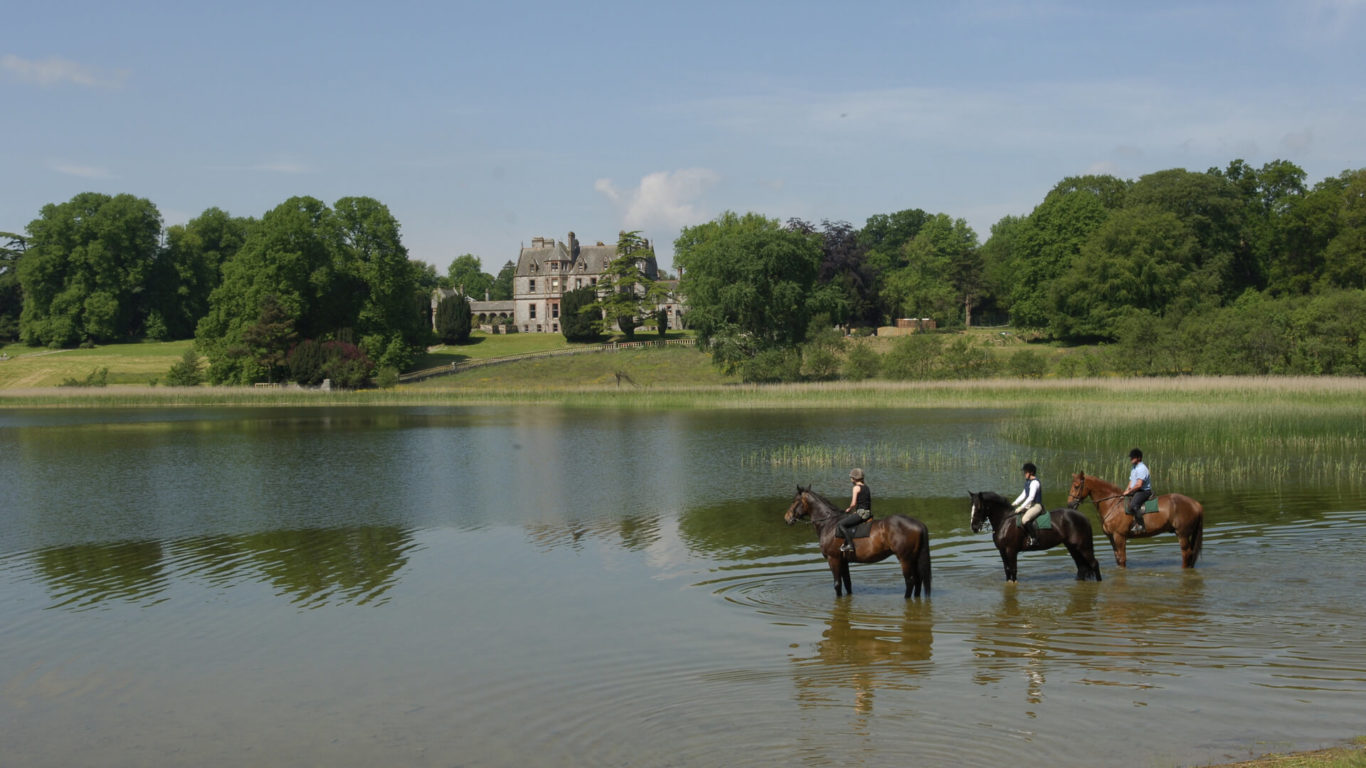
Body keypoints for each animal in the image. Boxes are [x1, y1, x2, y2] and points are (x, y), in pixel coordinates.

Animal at [786, 483, 934, 598]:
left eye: (794, 501)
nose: (786, 518)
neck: (829, 523)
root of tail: (918, 523)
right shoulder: (843, 561)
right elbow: (847, 584)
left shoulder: (833, 559)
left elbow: (837, 585)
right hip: (913, 558)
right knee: (918, 581)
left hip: (905, 559)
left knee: (910, 581)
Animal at [967, 489, 1103, 579]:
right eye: (971, 507)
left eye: (979, 508)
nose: (974, 527)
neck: (1004, 521)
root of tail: (1082, 516)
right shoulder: (1002, 551)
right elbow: (1007, 570)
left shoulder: (1011, 550)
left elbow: (1013, 570)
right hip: (1072, 547)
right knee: (1082, 567)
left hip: (1083, 546)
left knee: (1094, 564)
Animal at [1065, 470, 1207, 565]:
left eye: (1076, 486)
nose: (1070, 505)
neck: (1112, 504)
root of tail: (1196, 504)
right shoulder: (1111, 537)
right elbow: (1118, 559)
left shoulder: (1119, 536)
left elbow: (1122, 559)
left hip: (1182, 534)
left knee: (1186, 554)